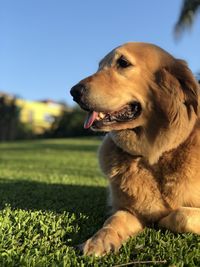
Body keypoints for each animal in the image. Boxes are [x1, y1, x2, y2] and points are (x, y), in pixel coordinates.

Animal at [70, 42, 200, 258]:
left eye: (123, 63)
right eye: (99, 66)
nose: (73, 92)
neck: (152, 157)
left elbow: (181, 215)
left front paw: (163, 219)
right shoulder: (128, 210)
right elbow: (113, 220)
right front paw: (99, 240)